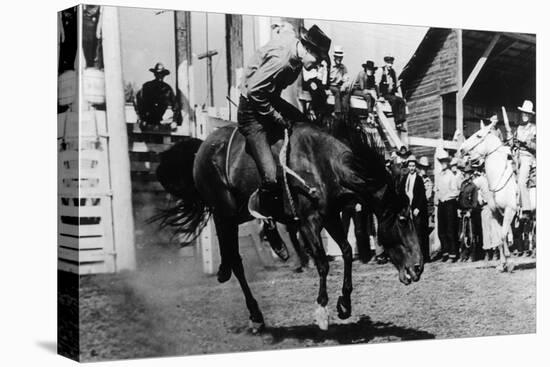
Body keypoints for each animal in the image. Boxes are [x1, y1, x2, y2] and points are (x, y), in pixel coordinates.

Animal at [157, 122, 424, 334]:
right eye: (402, 218)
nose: (418, 267)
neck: (322, 165)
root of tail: (202, 147)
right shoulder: (308, 222)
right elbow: (323, 262)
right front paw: (322, 310)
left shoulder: (330, 218)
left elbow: (347, 252)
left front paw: (344, 304)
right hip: (225, 212)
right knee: (236, 260)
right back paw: (254, 313)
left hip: (237, 214)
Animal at [460, 126, 520, 274]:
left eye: (478, 135)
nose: (461, 149)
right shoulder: (496, 214)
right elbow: (499, 238)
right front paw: (502, 264)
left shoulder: (510, 211)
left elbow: (504, 235)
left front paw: (510, 263)